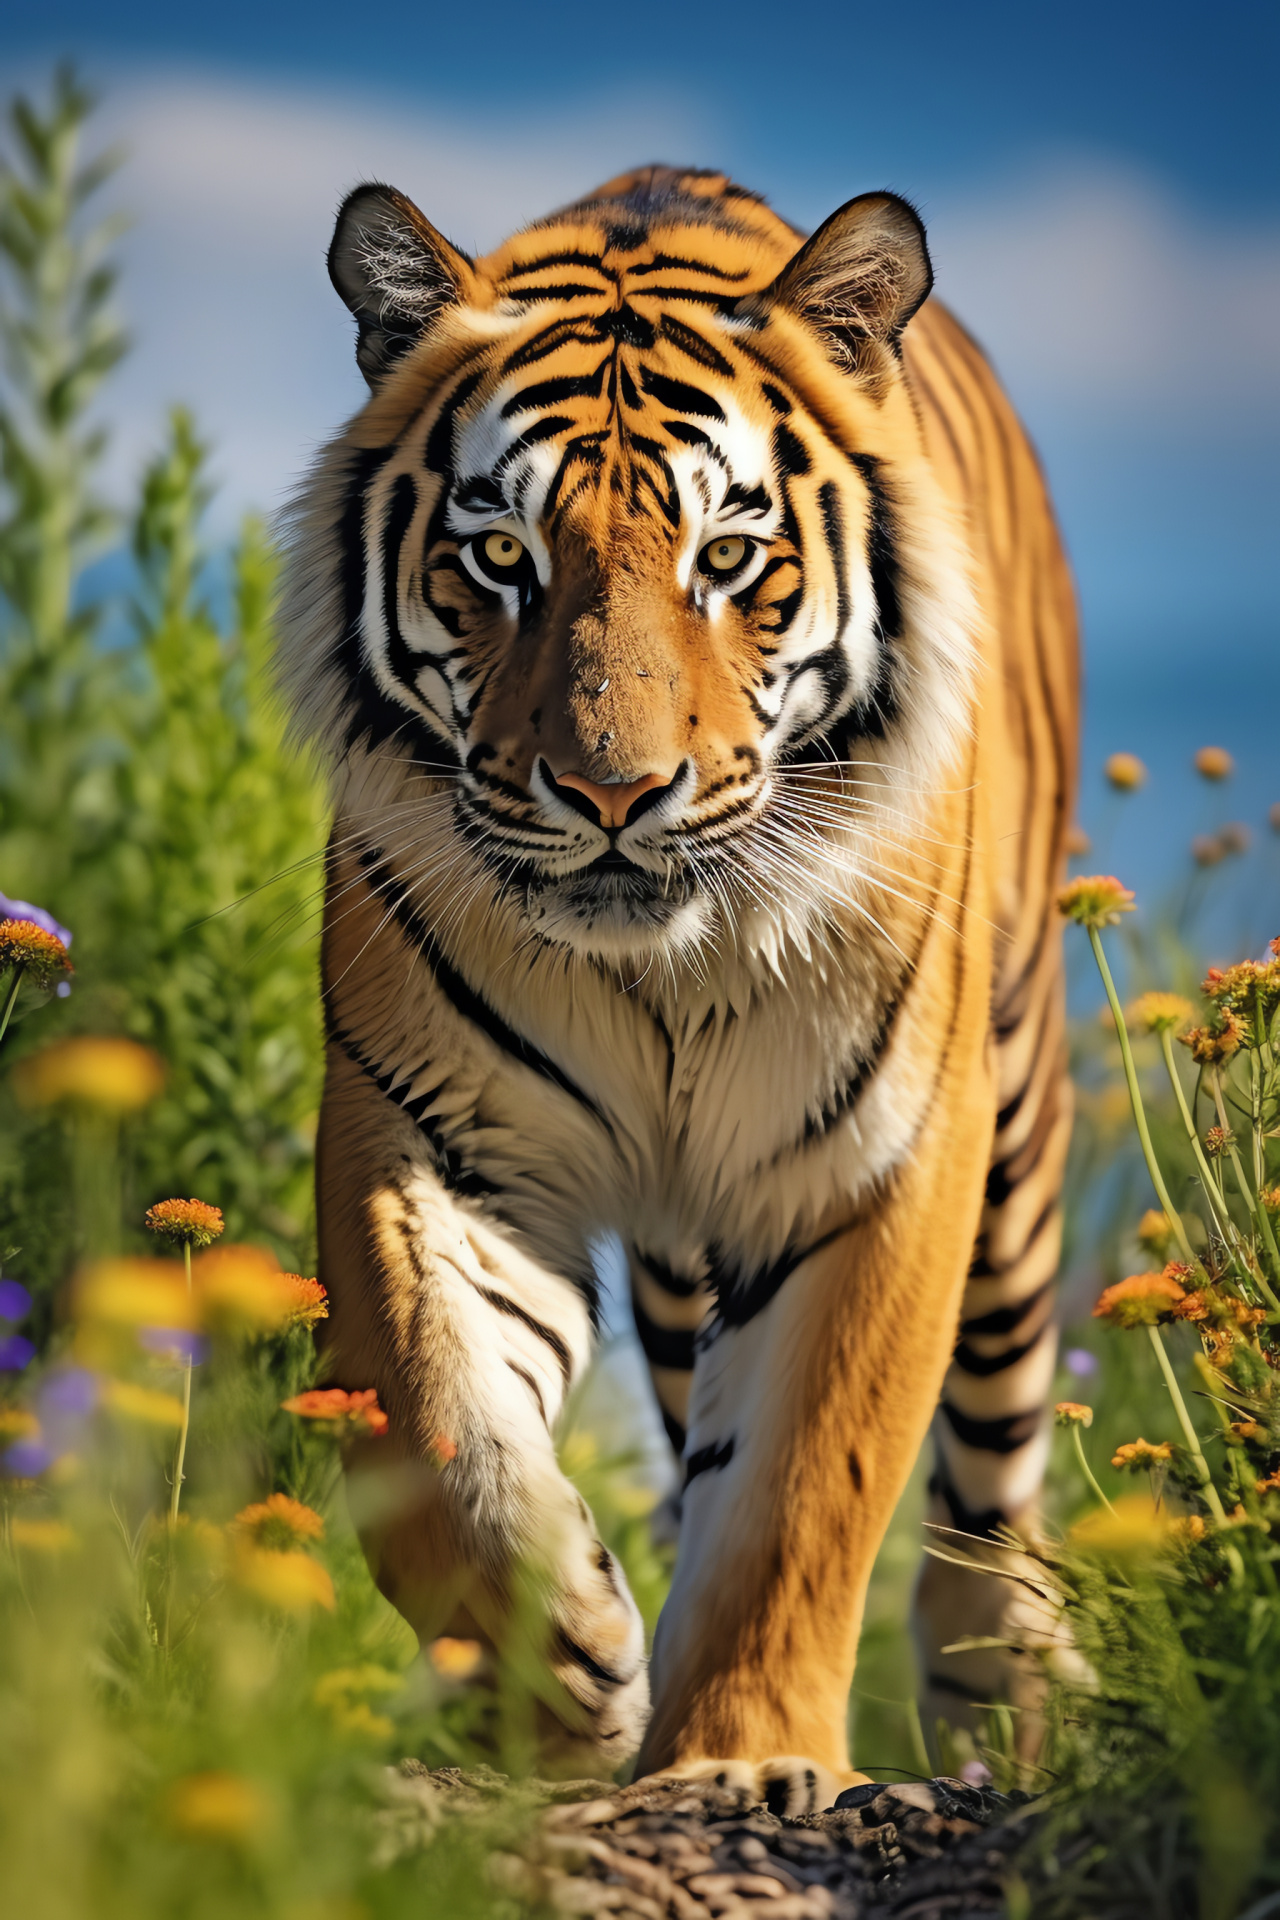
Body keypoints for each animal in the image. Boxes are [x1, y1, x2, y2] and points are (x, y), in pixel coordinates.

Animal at [282, 161, 1082, 1797]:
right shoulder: (434, 1134)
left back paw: (1003, 1702)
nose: (612, 794)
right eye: (501, 557)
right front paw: (563, 1665)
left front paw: (742, 1760)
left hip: (1019, 1125)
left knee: (991, 1460)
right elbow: (428, 1409)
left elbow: (800, 1487)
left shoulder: (877, 1158)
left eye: (728, 559)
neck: (661, 971)